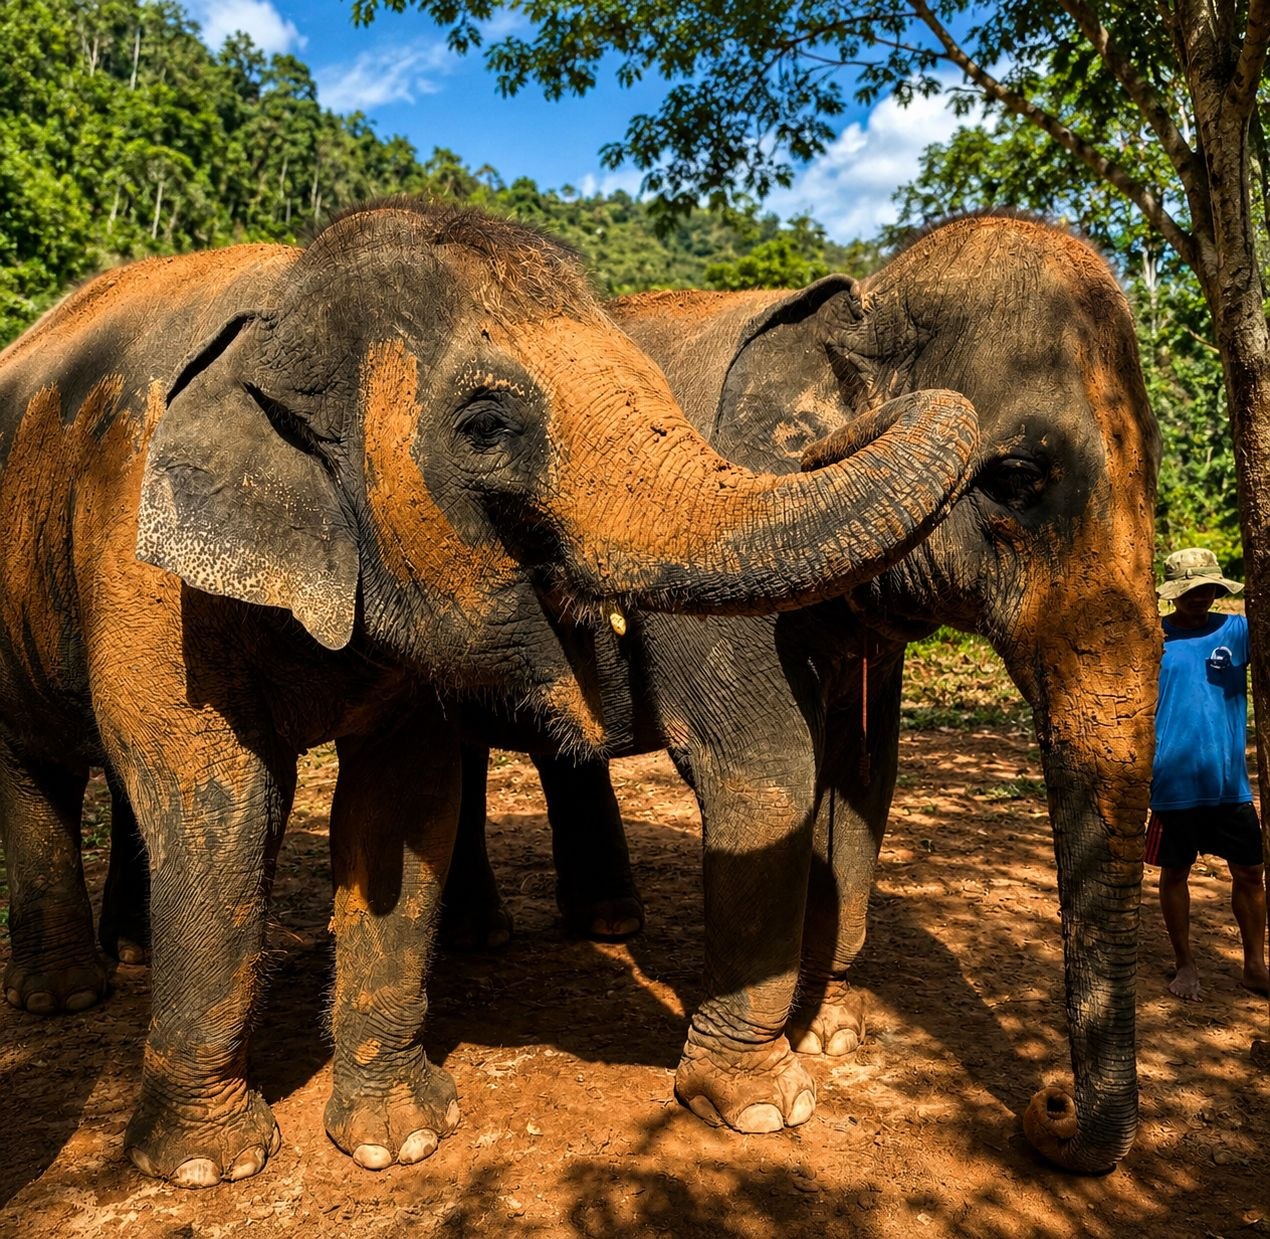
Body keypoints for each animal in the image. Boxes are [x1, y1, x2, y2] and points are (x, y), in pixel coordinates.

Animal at [0, 201, 980, 1187]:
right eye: (483, 425)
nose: (841, 413)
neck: (282, 298)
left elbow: (402, 801)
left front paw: (399, 1138)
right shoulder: (139, 564)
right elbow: (218, 798)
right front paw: (210, 1165)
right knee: (36, 769)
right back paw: (66, 995)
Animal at [446, 214, 1161, 1173]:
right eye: (1015, 478)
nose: (1047, 1105)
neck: (861, 300)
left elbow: (862, 775)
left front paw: (833, 1033)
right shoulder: (714, 546)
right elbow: (769, 765)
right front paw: (758, 1102)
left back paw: (607, 925)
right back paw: (483, 938)